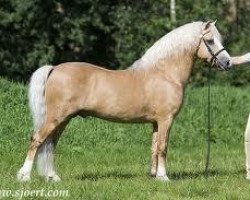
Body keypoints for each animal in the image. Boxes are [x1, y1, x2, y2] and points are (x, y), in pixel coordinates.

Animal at [17, 21, 232, 182]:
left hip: (63, 120)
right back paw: (24, 176)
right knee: (37, 140)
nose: (228, 63)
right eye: (210, 40)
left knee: (50, 144)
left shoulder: (156, 123)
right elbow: (163, 147)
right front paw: (164, 177)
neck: (165, 73)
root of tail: (54, 68)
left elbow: (154, 147)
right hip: (56, 118)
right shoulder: (166, 120)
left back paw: (52, 177)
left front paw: (154, 176)